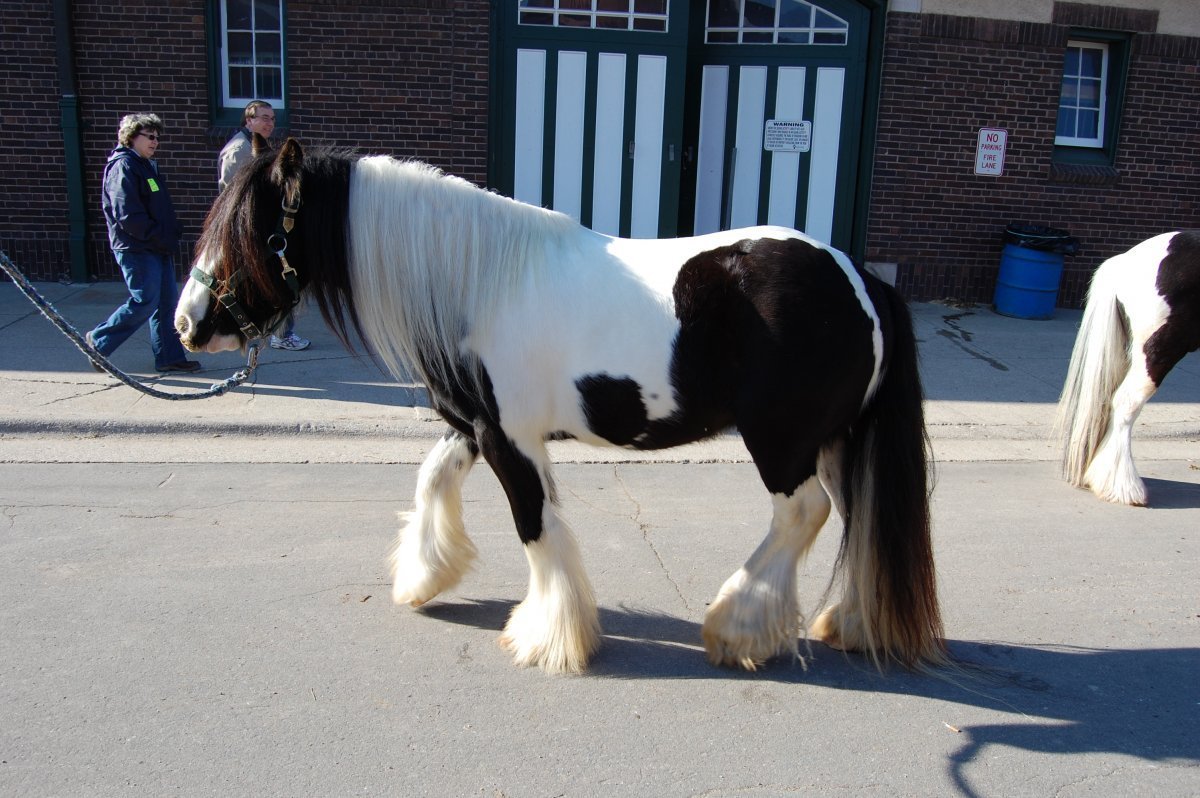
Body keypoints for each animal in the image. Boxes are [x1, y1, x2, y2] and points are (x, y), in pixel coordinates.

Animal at [175, 137, 945, 674]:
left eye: (253, 232)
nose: (188, 324)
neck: (477, 281)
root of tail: (859, 279)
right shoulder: (477, 427)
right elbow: (431, 479)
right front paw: (424, 575)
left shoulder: (509, 439)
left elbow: (535, 527)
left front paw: (550, 637)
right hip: (837, 440)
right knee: (857, 511)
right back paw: (848, 623)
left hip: (781, 441)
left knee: (803, 512)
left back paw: (736, 625)